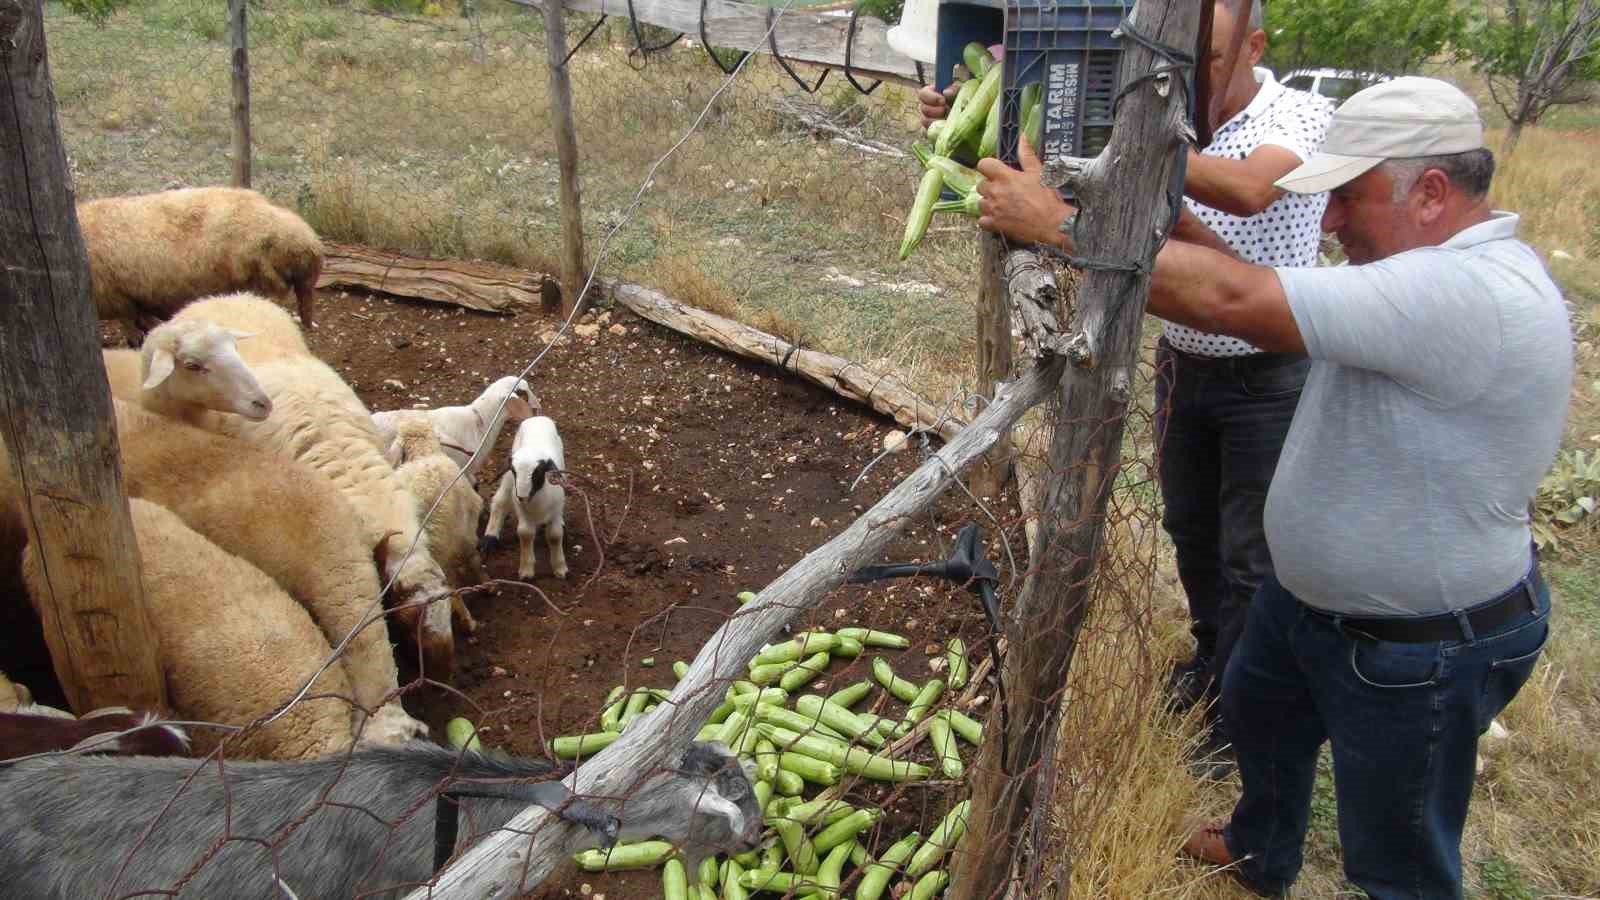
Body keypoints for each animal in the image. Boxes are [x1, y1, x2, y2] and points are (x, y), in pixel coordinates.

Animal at [480, 413, 569, 573]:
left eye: (538, 472)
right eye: (514, 471)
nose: (522, 496)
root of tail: (537, 418)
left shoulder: (556, 509)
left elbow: (555, 535)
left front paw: (560, 568)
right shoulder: (522, 509)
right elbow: (525, 533)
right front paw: (526, 570)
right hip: (509, 479)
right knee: (500, 500)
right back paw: (490, 537)